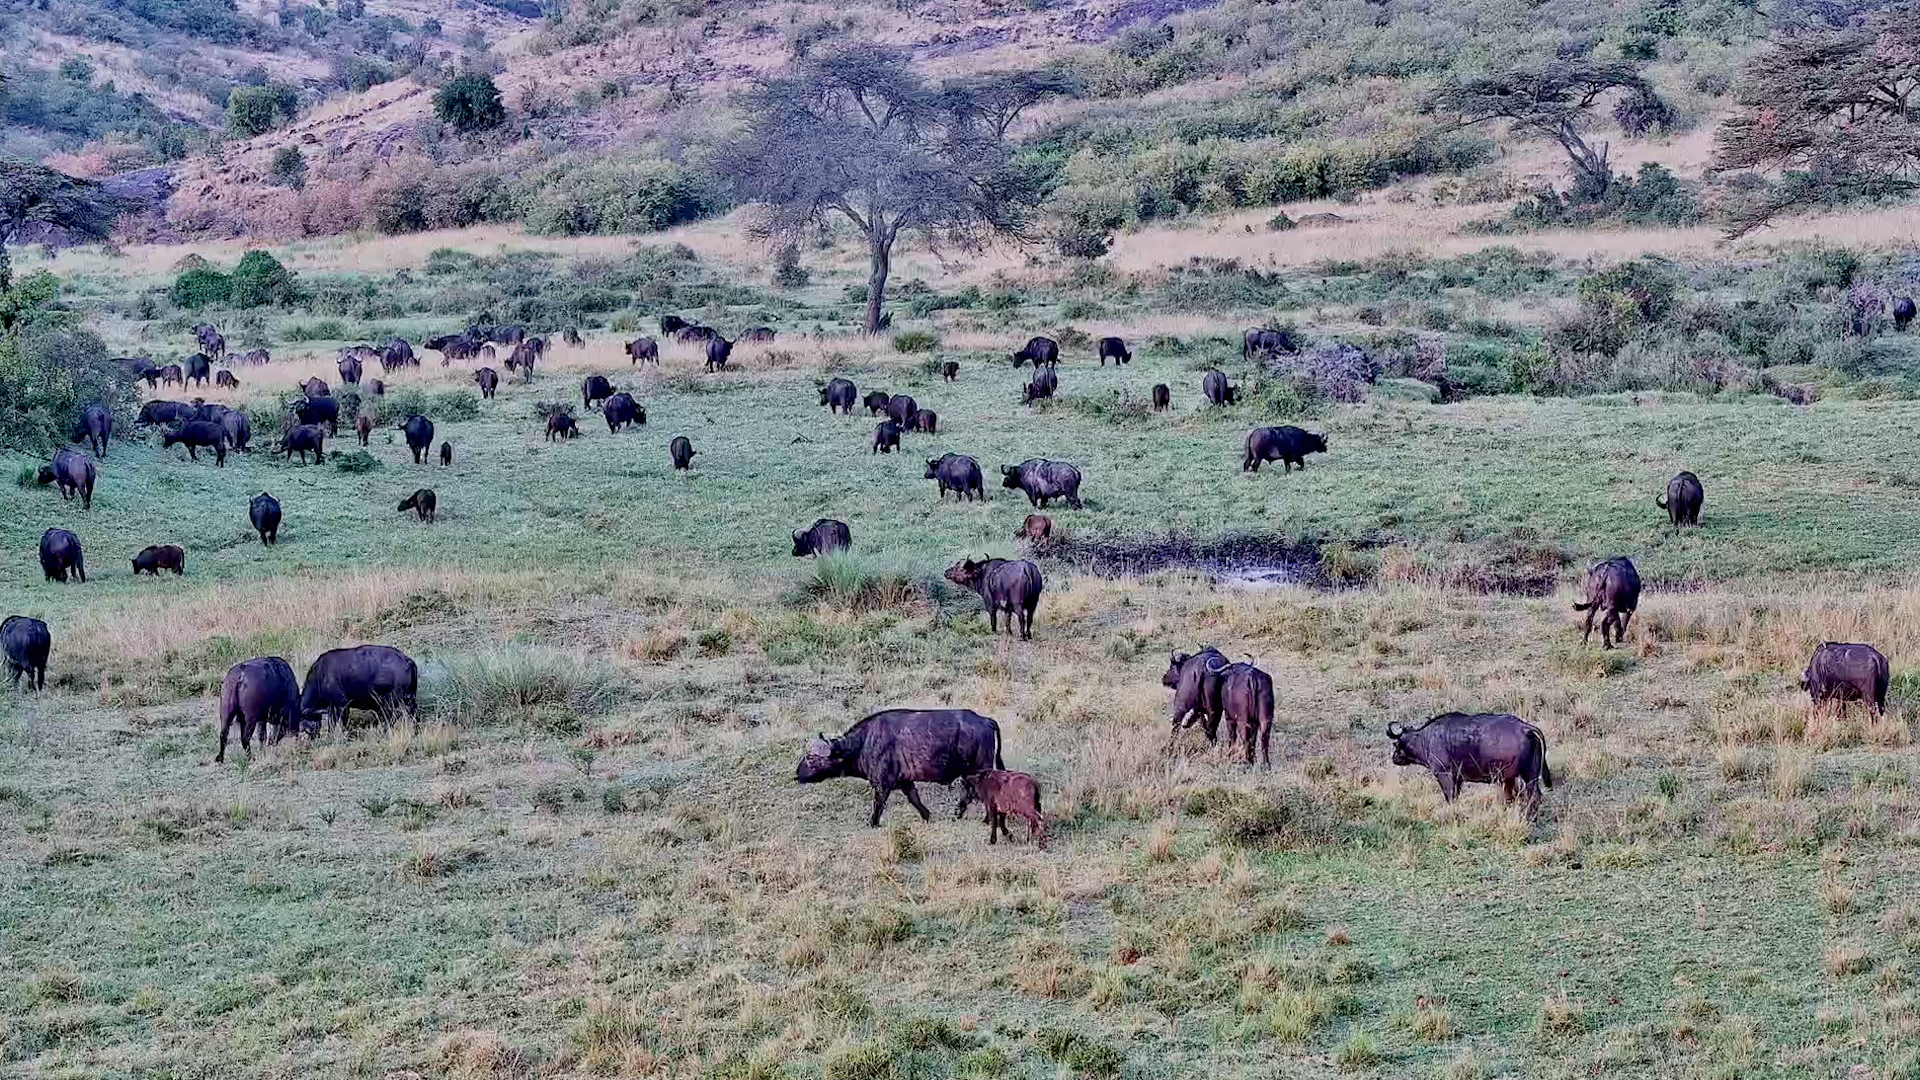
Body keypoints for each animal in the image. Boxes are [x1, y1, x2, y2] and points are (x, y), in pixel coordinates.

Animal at [795, 708, 1004, 827]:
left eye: (811, 758)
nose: (797, 773)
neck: (864, 742)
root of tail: (985, 720)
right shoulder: (905, 781)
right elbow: (915, 799)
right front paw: (927, 816)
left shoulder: (883, 783)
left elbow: (878, 804)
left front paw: (872, 822)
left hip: (977, 770)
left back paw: (984, 819)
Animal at [1388, 712, 1553, 814]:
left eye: (1397, 744)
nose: (1394, 758)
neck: (1425, 738)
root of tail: (1524, 728)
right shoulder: (1457, 779)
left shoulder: (1444, 775)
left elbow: (1449, 797)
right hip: (1529, 776)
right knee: (1534, 796)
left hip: (1506, 778)